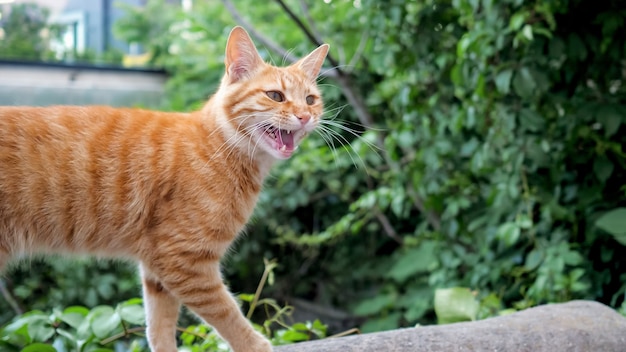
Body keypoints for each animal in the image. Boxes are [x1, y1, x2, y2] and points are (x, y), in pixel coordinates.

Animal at [0, 27, 330, 352]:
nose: (305, 116)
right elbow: (227, 313)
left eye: (310, 99)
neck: (220, 148)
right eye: (275, 96)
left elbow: (159, 325)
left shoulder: (157, 269)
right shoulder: (183, 260)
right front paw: (255, 345)